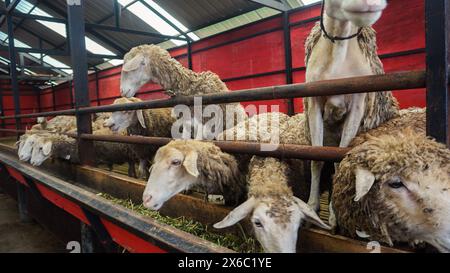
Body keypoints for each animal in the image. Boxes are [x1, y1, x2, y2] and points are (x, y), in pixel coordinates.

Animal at [302, 0, 398, 210]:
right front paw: (312, 205)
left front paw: (333, 212)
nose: (369, 3)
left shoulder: (357, 106)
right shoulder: (313, 103)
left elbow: (338, 160)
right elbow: (316, 158)